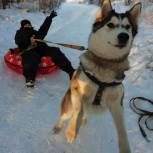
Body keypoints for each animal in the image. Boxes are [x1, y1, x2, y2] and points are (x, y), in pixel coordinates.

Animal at [53, 0, 141, 152]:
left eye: (128, 27)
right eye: (110, 24)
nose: (124, 36)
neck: (105, 65)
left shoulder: (117, 104)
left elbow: (122, 129)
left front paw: (125, 147)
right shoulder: (77, 90)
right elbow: (77, 110)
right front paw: (71, 130)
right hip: (68, 105)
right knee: (65, 115)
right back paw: (59, 127)